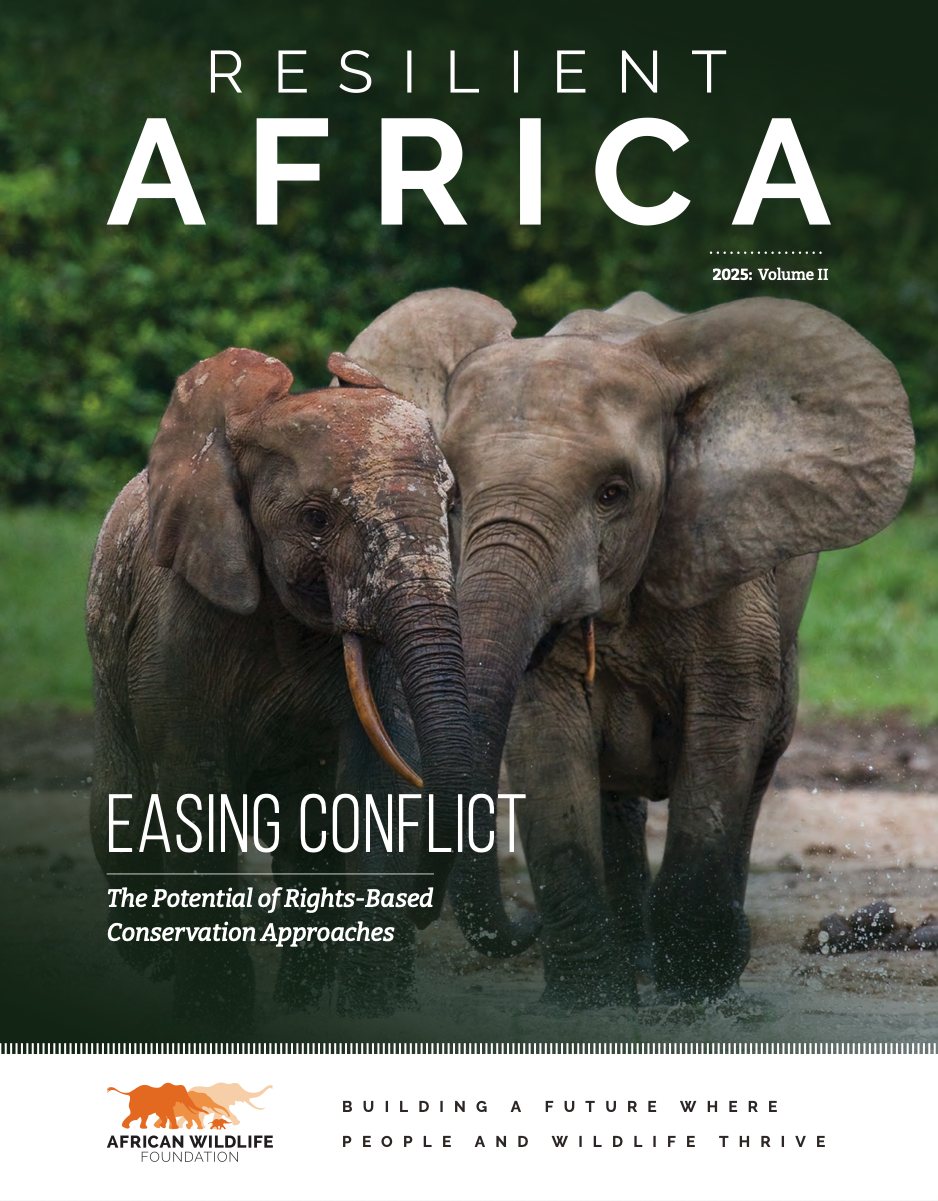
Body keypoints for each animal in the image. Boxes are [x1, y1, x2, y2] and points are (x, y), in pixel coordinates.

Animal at [88, 347, 473, 1030]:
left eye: (450, 505)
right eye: (315, 519)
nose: (428, 911)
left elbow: (374, 785)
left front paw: (371, 1018)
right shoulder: (173, 629)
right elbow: (191, 789)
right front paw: (216, 1019)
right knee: (123, 816)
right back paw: (152, 971)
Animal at [343, 287, 914, 1006]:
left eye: (613, 494)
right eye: (452, 492)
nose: (524, 924)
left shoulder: (723, 553)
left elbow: (725, 727)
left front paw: (695, 995)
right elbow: (549, 744)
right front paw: (589, 1004)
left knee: (759, 761)